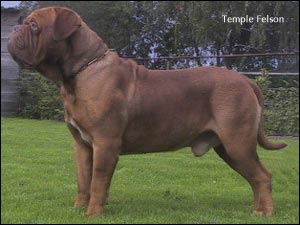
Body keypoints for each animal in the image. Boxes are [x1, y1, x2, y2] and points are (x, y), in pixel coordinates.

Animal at [8, 5, 288, 216]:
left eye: (34, 26)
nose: (14, 28)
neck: (81, 71)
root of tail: (246, 80)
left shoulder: (105, 143)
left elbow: (97, 182)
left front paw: (93, 214)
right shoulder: (82, 146)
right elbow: (83, 181)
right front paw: (78, 209)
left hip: (237, 142)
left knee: (263, 176)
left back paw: (265, 212)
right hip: (228, 148)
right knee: (255, 178)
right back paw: (256, 208)